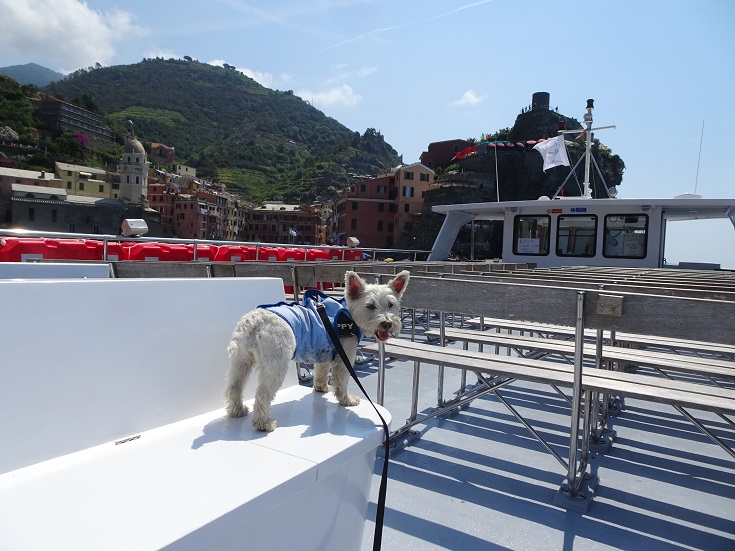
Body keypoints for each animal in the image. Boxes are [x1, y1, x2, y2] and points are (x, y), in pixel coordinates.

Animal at [224, 270, 408, 432]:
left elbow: (321, 372)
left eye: (391, 305)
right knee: (262, 394)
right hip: (275, 365)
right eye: (370, 306)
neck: (348, 314)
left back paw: (237, 410)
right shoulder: (345, 357)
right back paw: (263, 424)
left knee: (234, 387)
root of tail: (254, 321)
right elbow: (342, 382)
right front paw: (347, 400)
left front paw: (321, 388)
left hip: (241, 362)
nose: (387, 323)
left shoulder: (325, 353)